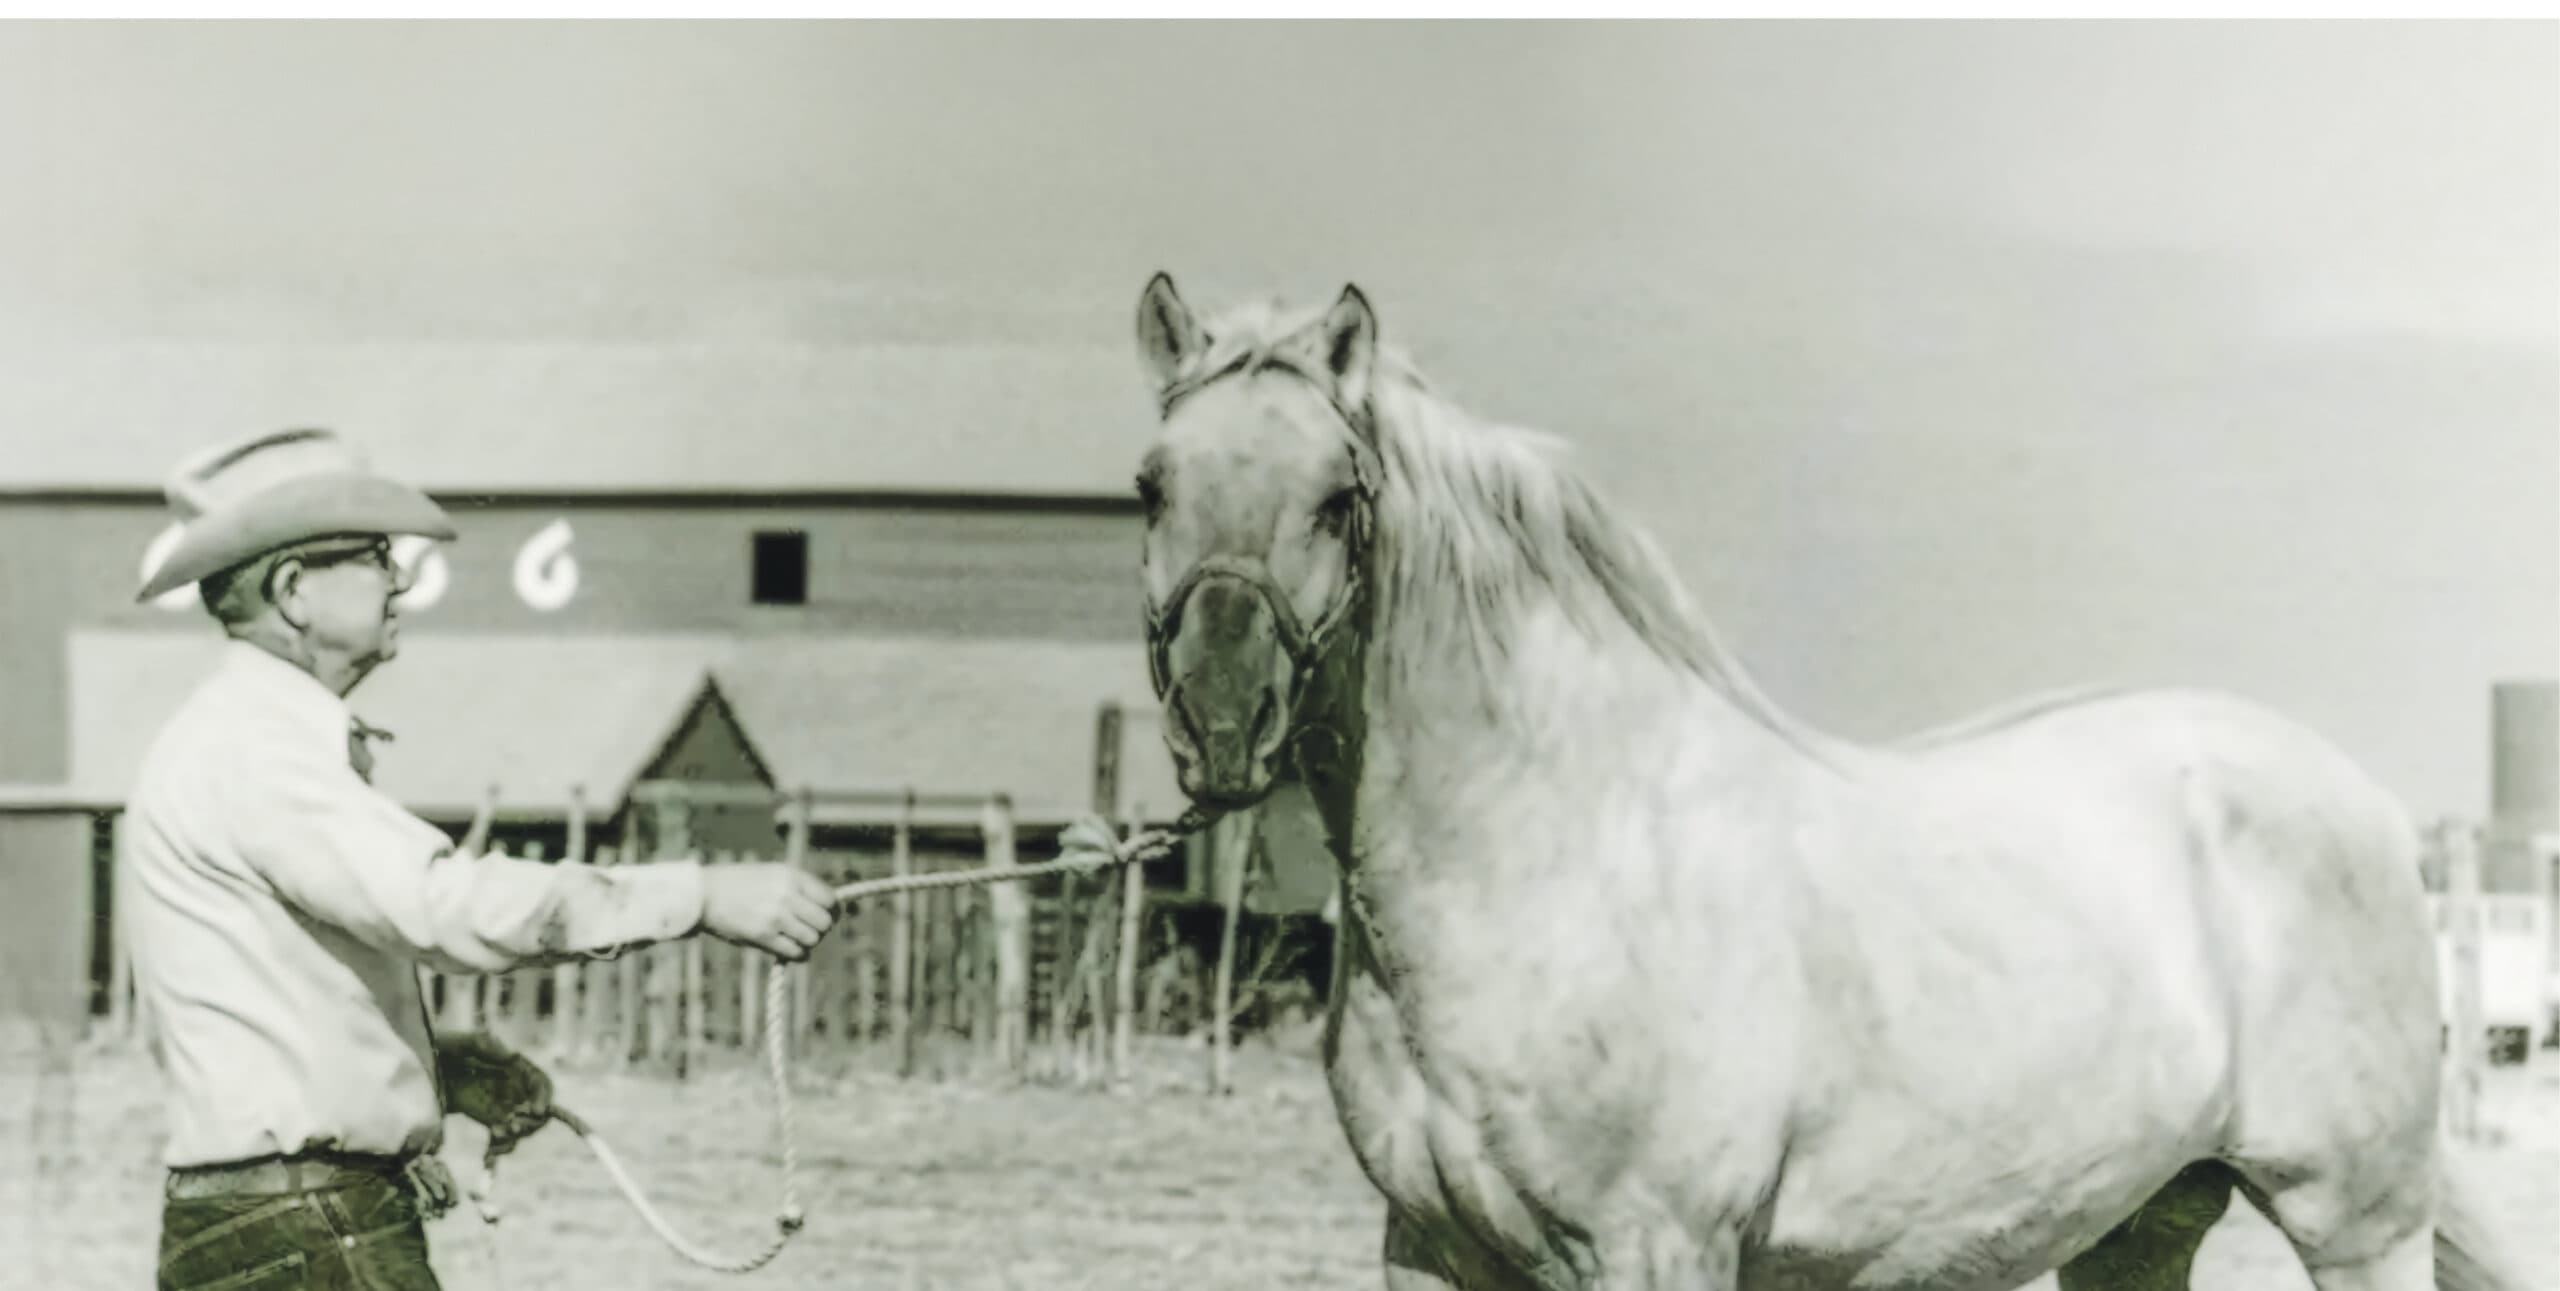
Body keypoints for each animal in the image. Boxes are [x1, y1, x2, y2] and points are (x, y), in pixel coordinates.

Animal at [1120, 271, 2528, 1291]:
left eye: (1336, 496)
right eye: (1149, 485)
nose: (1221, 721)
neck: (1560, 855)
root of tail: (2362, 803)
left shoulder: (1656, 1249)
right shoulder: (1427, 1250)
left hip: (2354, 1219)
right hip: (2140, 1220)